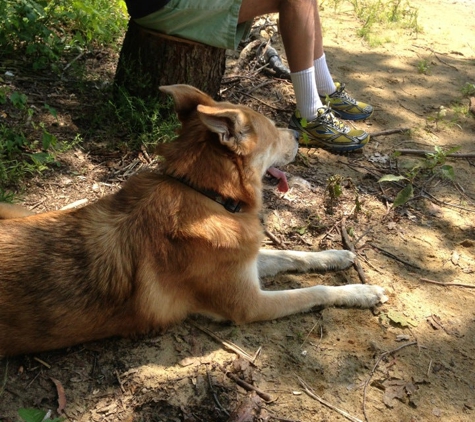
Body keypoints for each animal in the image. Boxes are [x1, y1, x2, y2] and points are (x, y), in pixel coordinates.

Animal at [0, 85, 386, 356]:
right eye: (274, 134)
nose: (296, 133)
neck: (204, 193)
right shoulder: (249, 304)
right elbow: (314, 291)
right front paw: (362, 291)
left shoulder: (244, 263)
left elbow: (293, 255)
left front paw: (337, 255)